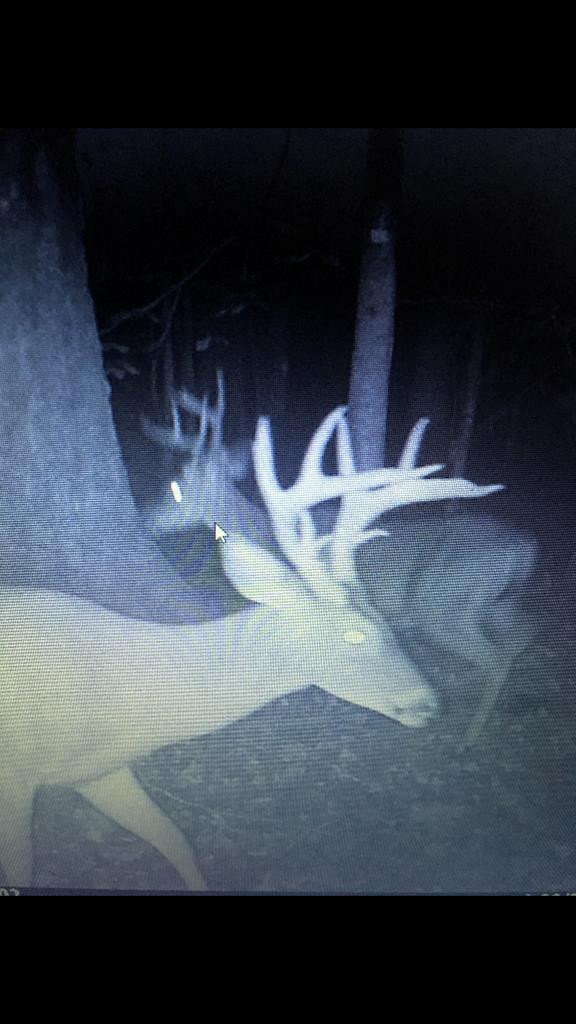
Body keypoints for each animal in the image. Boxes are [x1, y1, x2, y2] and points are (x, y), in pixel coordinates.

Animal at [0, 400, 503, 890]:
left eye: (386, 618)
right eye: (356, 632)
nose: (430, 702)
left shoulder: (100, 771)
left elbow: (177, 842)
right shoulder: (17, 779)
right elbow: (23, 868)